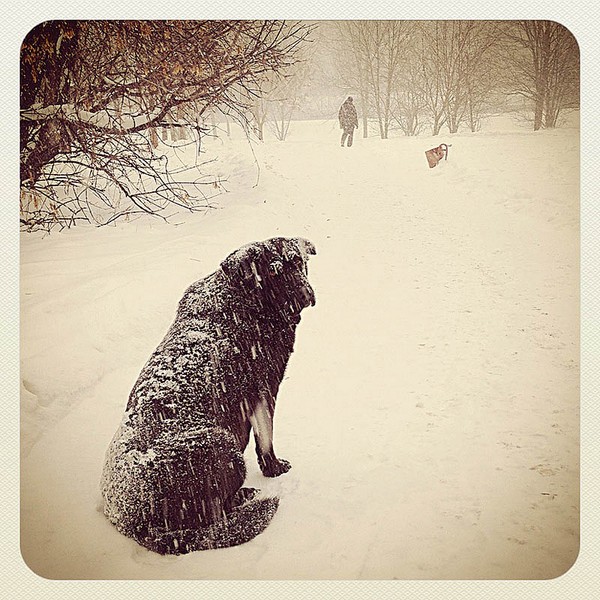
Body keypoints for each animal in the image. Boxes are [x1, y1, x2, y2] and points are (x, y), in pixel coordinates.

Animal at [101, 237, 316, 556]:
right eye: (274, 271)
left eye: (299, 262)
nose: (306, 295)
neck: (248, 300)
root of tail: (134, 525)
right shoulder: (263, 389)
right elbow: (266, 439)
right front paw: (274, 469)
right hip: (222, 445)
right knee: (213, 516)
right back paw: (242, 497)